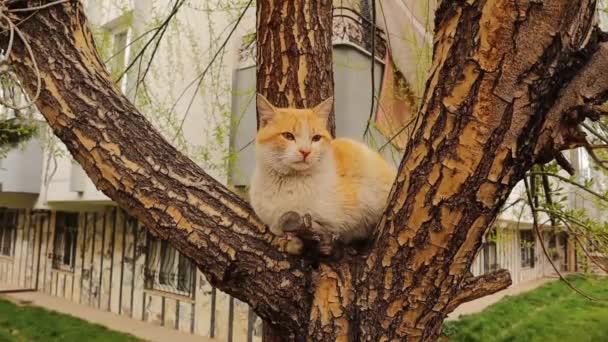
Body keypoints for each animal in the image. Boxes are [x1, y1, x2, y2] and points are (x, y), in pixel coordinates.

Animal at [249, 93, 396, 254]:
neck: (287, 183)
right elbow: (277, 228)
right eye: (288, 136)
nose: (305, 151)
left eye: (316, 138)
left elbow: (332, 230)